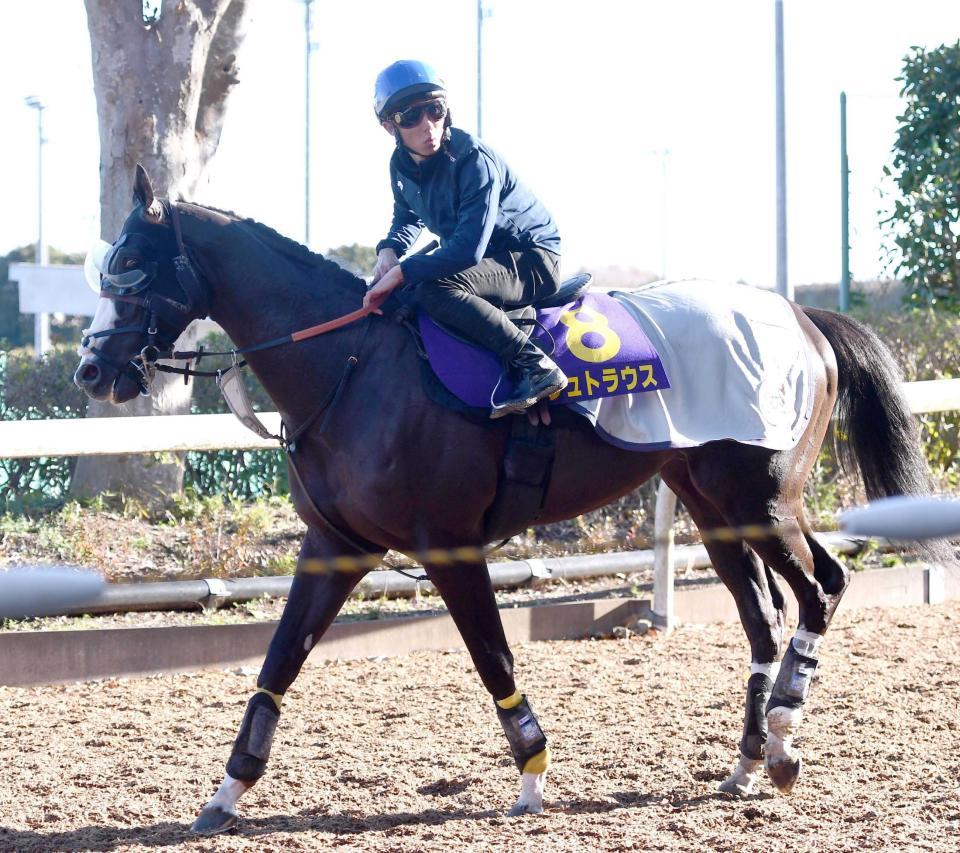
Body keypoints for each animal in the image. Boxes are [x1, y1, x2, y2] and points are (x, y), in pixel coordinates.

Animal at [75, 165, 944, 832]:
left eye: (135, 265)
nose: (90, 370)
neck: (353, 364)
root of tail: (802, 316)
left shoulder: (448, 545)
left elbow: (492, 656)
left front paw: (532, 773)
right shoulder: (334, 545)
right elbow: (278, 661)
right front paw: (225, 791)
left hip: (763, 496)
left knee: (823, 586)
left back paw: (787, 740)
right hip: (709, 501)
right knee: (764, 615)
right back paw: (749, 758)